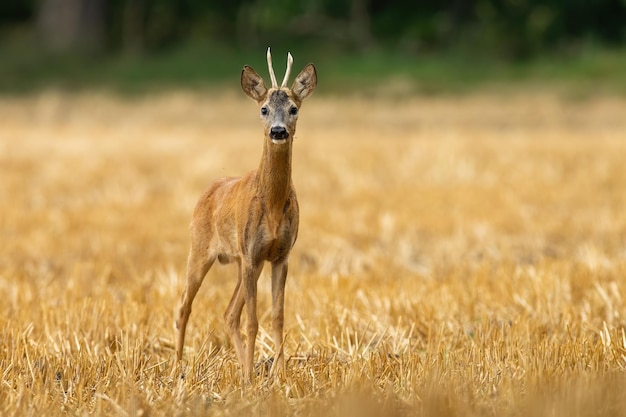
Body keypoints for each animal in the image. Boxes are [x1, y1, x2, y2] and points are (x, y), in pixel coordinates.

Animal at [172, 47, 314, 378]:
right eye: (263, 108)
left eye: (293, 108)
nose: (278, 131)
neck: (272, 206)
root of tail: (208, 190)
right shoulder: (251, 254)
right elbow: (253, 319)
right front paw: (251, 378)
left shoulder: (279, 255)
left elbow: (277, 316)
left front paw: (280, 375)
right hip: (200, 249)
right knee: (184, 305)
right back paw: (178, 368)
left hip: (241, 260)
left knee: (228, 313)